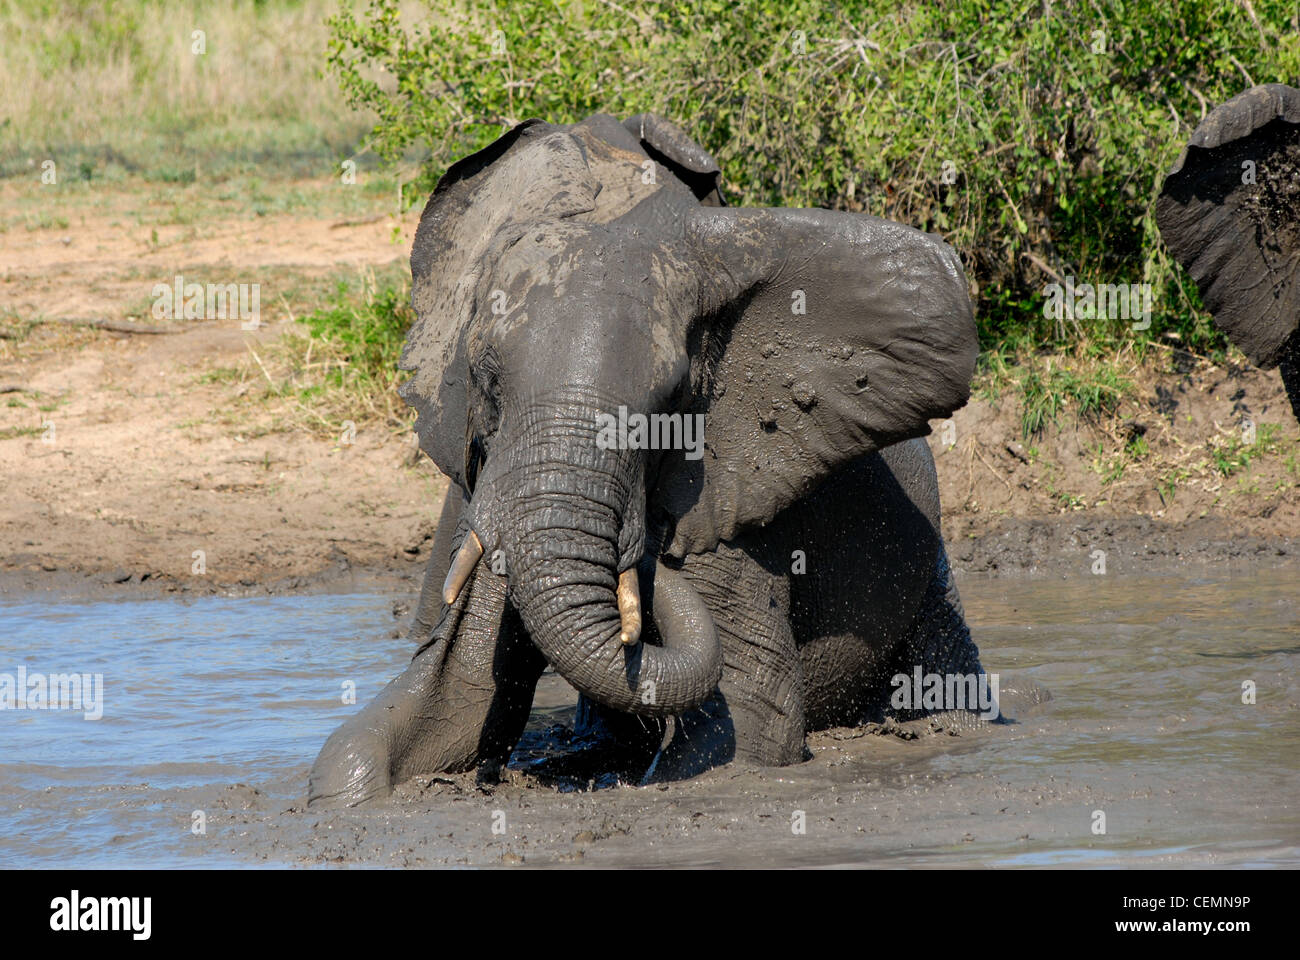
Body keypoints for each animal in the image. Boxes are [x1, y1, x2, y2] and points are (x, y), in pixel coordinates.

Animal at [308, 112, 984, 808]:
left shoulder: (730, 485)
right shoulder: (476, 485)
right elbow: (451, 702)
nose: (640, 548)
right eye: (486, 378)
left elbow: (747, 731)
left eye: (671, 400)